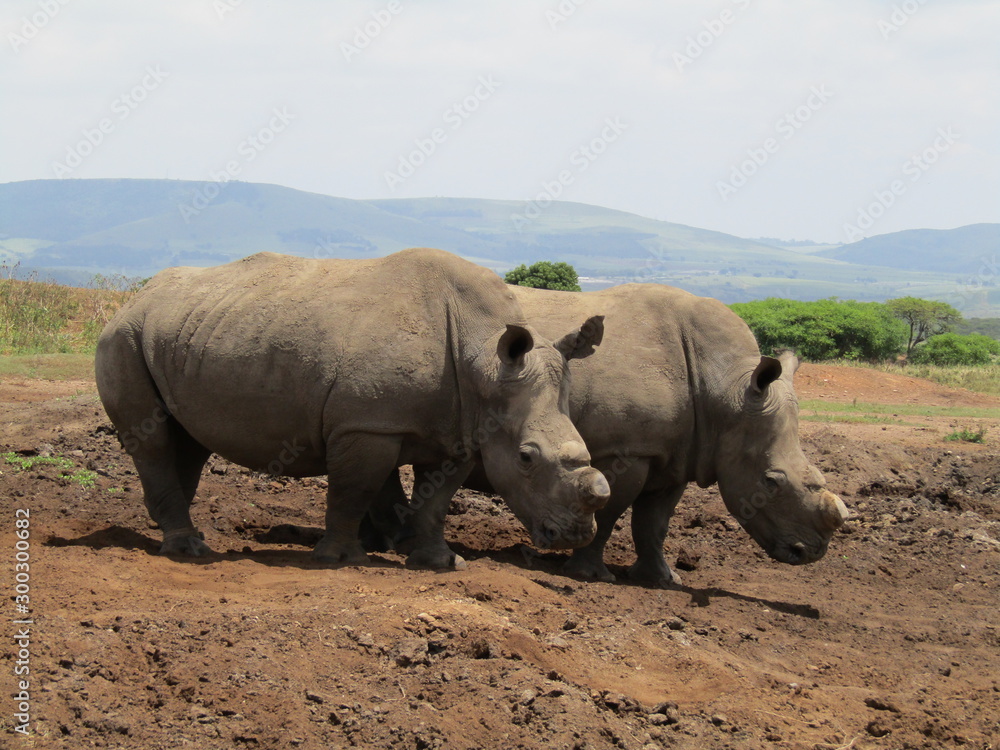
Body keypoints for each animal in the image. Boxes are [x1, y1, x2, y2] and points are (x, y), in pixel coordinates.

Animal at [95, 248, 611, 570]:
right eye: (527, 458)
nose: (576, 535)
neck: (484, 359)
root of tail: (133, 299)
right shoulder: (367, 425)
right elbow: (353, 489)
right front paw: (341, 560)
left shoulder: (461, 433)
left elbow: (436, 502)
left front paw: (441, 562)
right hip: (122, 337)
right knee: (153, 441)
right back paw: (188, 550)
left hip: (182, 332)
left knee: (187, 440)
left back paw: (176, 535)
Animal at [369, 282, 849, 585]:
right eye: (772, 481)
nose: (810, 553)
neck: (727, 390)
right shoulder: (627, 449)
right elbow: (613, 511)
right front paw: (590, 575)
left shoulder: (676, 454)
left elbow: (654, 523)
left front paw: (663, 581)